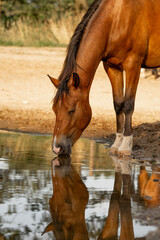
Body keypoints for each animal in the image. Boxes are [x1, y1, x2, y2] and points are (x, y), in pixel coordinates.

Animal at [49, 0, 160, 156]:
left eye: (71, 110)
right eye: (54, 109)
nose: (56, 148)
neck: (117, 19)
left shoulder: (133, 66)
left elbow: (128, 104)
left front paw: (125, 146)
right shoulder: (112, 67)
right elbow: (118, 104)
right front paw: (116, 144)